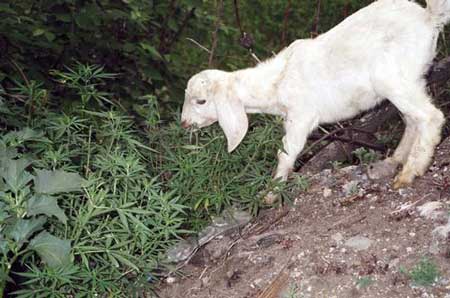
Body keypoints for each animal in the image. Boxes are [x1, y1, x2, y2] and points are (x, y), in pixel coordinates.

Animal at [182, 0, 450, 200]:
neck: (276, 81)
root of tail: (428, 18)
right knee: (413, 119)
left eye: (201, 101)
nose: (184, 123)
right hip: (412, 80)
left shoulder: (301, 116)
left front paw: (270, 195)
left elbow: (286, 152)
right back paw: (395, 160)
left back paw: (409, 173)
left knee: (431, 117)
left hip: (391, 79)